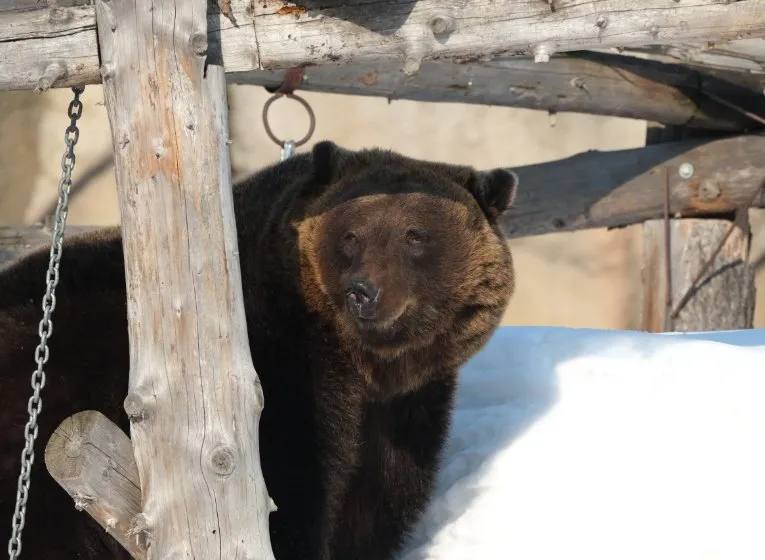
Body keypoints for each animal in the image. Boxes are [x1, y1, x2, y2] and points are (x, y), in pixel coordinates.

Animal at [0, 141, 517, 560]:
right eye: (351, 235)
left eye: (416, 235)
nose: (363, 292)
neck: (366, 365)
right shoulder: (283, 369)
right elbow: (291, 488)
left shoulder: (404, 411)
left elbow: (376, 506)